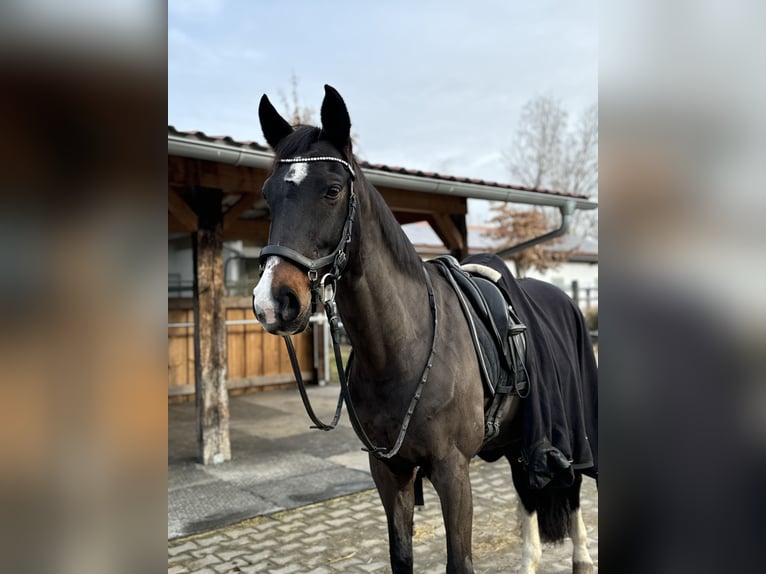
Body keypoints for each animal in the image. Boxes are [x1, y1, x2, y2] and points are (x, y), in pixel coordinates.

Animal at [252, 85, 597, 574]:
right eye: (268, 196)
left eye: (333, 190)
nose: (273, 302)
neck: (402, 348)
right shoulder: (389, 472)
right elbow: (401, 556)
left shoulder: (452, 471)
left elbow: (460, 561)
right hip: (521, 439)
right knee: (530, 492)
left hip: (574, 428)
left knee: (574, 488)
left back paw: (583, 556)